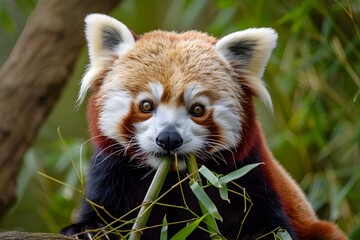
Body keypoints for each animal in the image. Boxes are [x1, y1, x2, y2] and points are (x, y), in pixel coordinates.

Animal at [60, 13, 348, 240]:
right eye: (146, 105)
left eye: (197, 109)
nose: (169, 139)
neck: (173, 180)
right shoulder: (113, 173)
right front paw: (89, 229)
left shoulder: (246, 178)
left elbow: (271, 228)